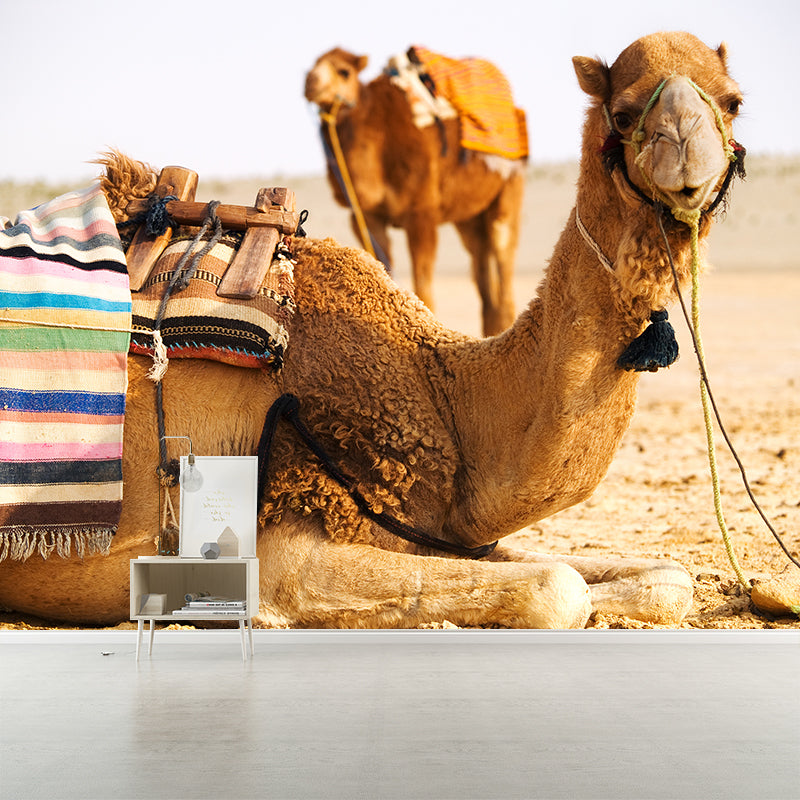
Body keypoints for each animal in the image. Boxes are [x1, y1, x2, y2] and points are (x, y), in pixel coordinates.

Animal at [304, 47, 527, 336]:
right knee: (479, 259)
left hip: (510, 186)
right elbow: (382, 266)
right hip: (468, 216)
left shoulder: (422, 213)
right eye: (313, 65)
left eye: (344, 71)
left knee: (503, 251)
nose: (310, 82)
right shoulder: (366, 215)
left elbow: (423, 280)